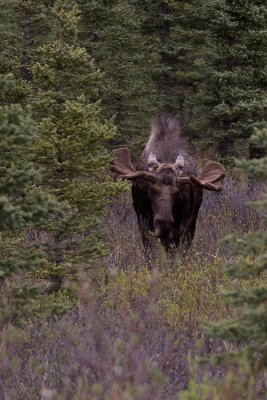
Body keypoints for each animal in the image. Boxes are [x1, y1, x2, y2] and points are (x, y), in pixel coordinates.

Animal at [111, 114, 226, 255]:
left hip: (193, 217)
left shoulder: (181, 222)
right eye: (152, 190)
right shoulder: (142, 217)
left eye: (176, 192)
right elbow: (149, 249)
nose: (164, 225)